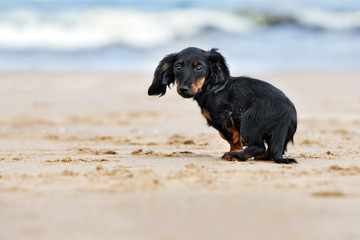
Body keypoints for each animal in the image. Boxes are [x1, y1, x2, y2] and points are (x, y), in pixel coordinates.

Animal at [148, 47, 296, 163]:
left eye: (199, 68)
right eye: (178, 67)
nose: (183, 89)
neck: (211, 87)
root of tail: (285, 115)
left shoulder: (223, 118)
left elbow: (231, 137)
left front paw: (233, 152)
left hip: (250, 119)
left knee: (259, 146)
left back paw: (238, 155)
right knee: (271, 150)